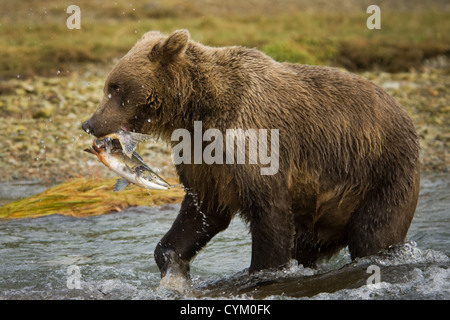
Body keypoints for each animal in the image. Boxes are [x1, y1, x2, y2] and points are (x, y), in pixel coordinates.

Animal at [81, 29, 422, 280]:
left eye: (115, 87)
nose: (89, 123)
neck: (197, 111)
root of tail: (406, 115)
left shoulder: (251, 134)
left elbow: (269, 211)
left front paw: (260, 271)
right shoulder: (202, 156)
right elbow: (203, 210)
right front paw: (172, 260)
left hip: (381, 174)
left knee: (374, 233)